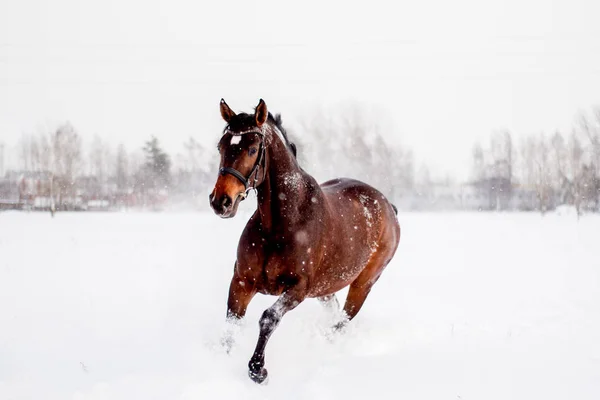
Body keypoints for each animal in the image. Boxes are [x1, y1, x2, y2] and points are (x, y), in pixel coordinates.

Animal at [209, 98, 400, 382]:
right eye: (221, 146)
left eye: (252, 149)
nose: (221, 202)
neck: (281, 223)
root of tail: (389, 206)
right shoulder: (242, 281)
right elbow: (232, 322)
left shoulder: (297, 288)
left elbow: (268, 318)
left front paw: (258, 369)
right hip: (325, 288)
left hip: (363, 284)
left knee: (342, 322)